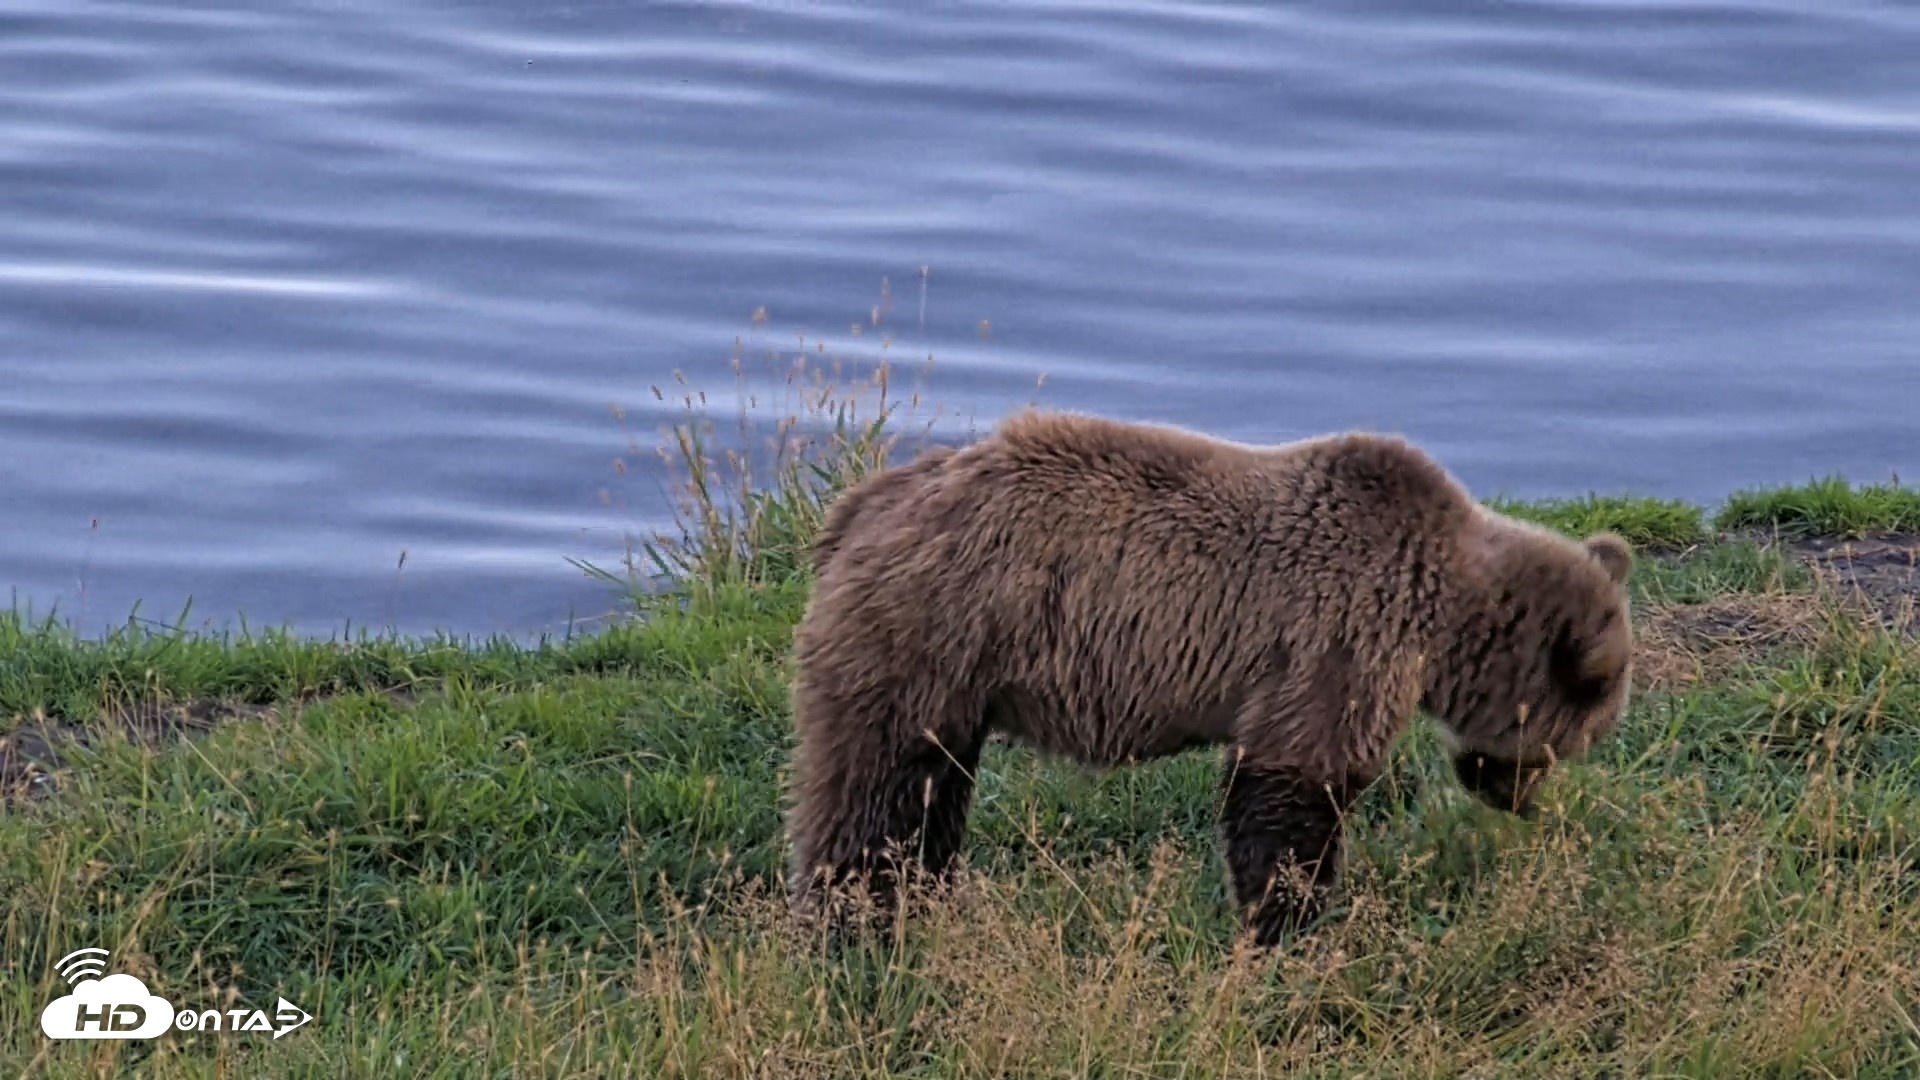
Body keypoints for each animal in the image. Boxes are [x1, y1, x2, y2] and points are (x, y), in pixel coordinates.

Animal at [783, 408, 1635, 946]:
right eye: (1566, 743)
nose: (1519, 801)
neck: (1445, 614)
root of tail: (854, 511)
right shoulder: (1341, 637)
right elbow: (1290, 791)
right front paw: (1287, 927)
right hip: (932, 633)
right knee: (876, 793)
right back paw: (857, 926)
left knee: (932, 794)